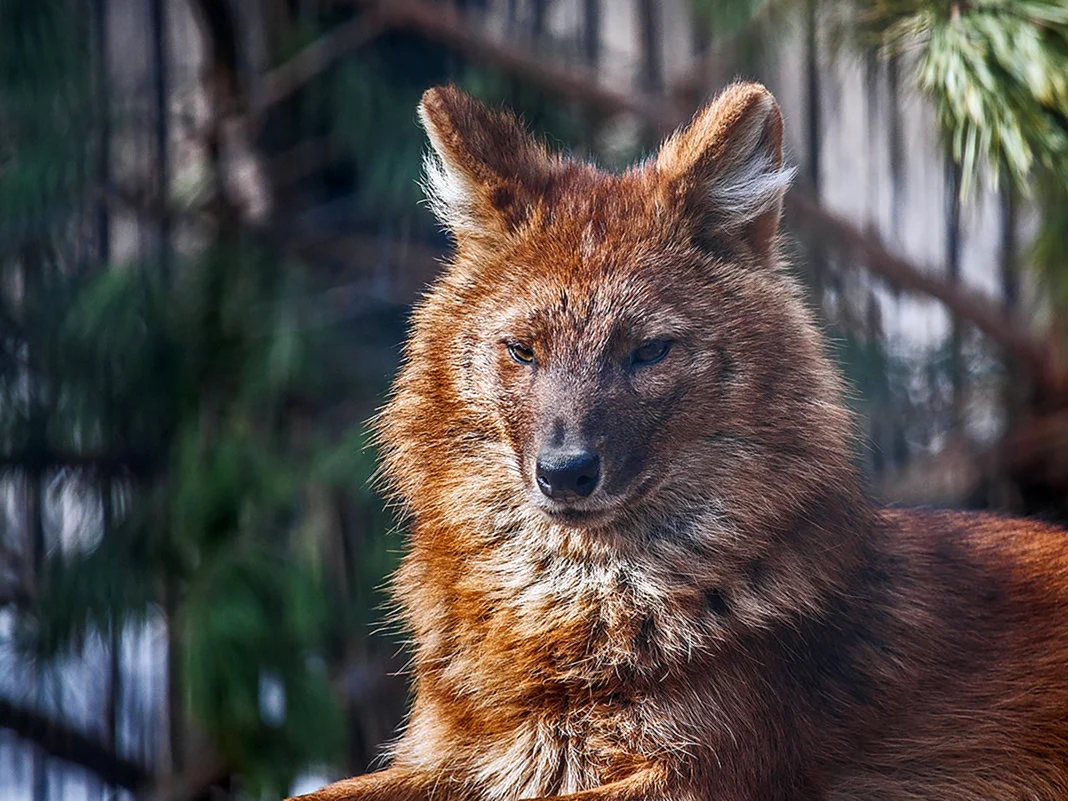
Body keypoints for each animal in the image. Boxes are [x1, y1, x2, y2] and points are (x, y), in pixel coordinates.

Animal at [293, 83, 1068, 801]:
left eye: (649, 352)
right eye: (521, 350)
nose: (565, 472)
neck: (575, 600)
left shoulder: (701, 770)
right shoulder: (459, 755)